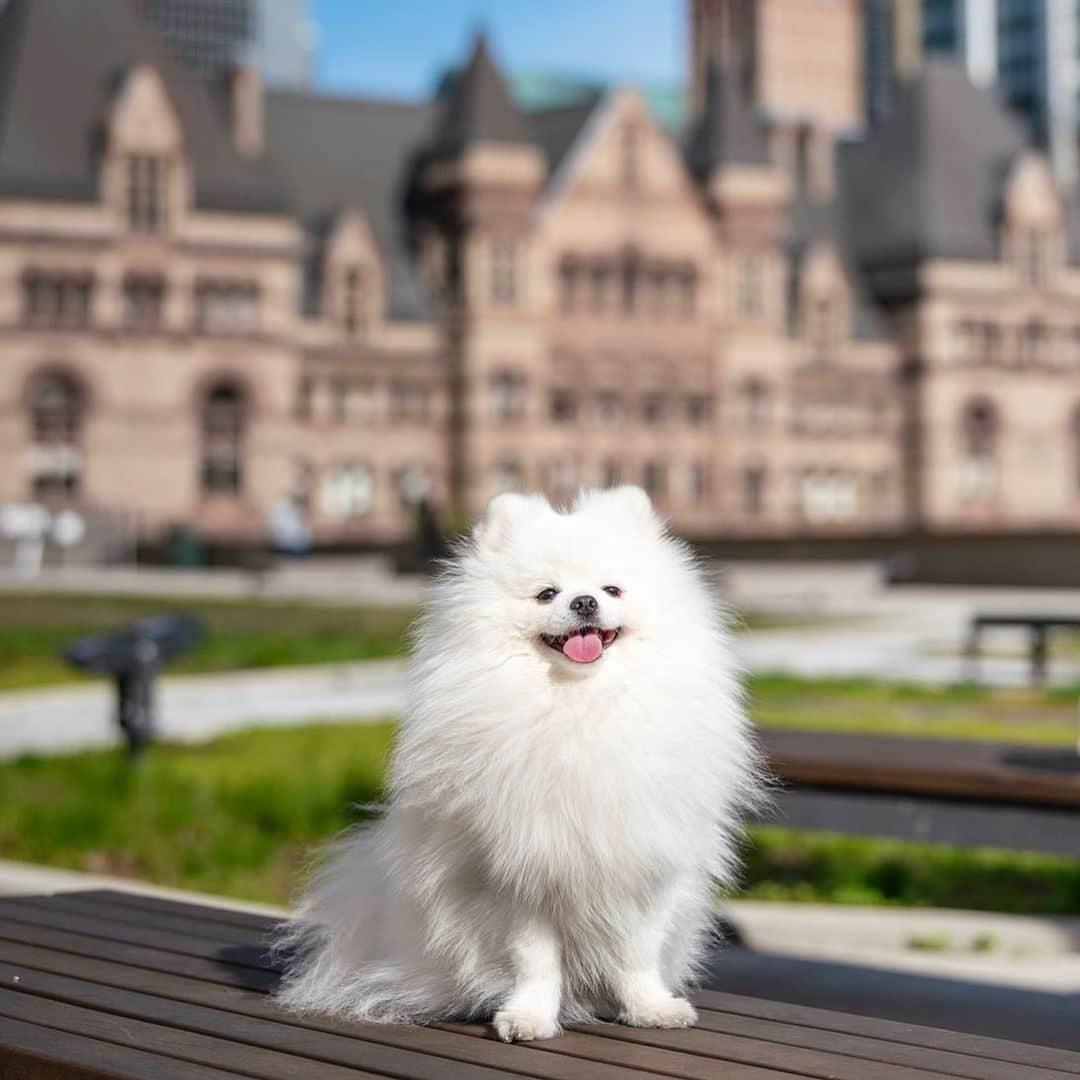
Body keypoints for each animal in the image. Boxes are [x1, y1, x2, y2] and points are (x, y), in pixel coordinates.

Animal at [282, 488, 764, 1036]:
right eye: (546, 594)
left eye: (612, 589)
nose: (584, 601)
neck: (580, 705)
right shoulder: (520, 871)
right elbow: (535, 959)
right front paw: (529, 1016)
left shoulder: (647, 864)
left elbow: (638, 952)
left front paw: (650, 1008)